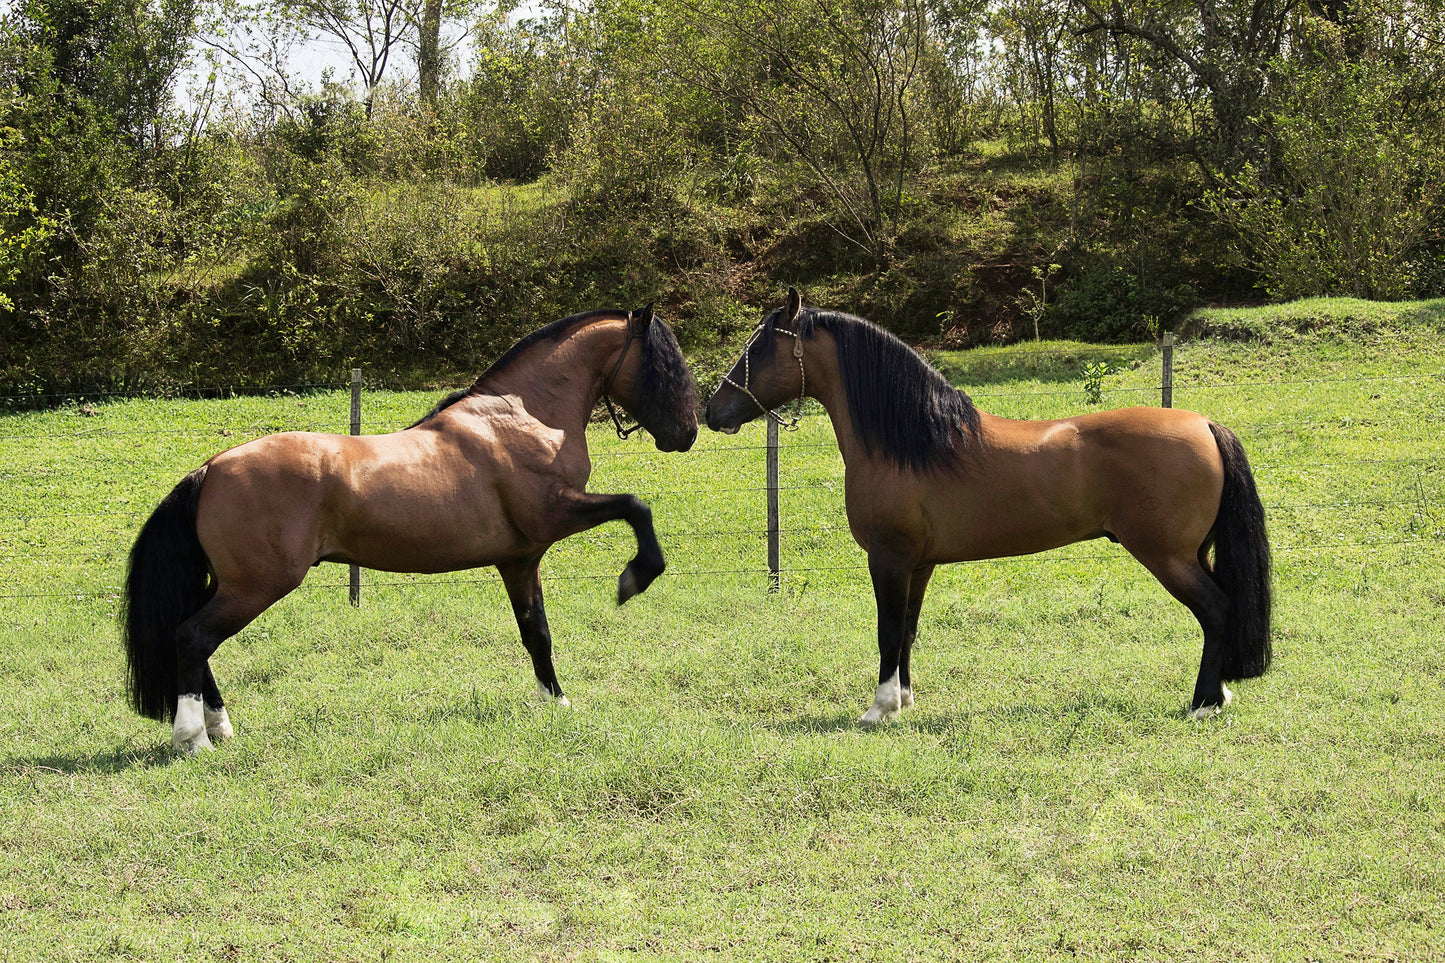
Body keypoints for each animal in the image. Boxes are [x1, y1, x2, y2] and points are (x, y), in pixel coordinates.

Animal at [124, 305, 699, 754]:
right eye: (664, 364)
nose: (688, 433)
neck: (524, 416)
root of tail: (210, 469)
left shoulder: (519, 558)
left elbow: (536, 631)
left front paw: (554, 701)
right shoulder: (552, 514)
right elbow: (636, 507)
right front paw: (635, 577)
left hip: (231, 585)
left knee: (194, 640)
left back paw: (220, 727)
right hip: (257, 585)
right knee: (193, 637)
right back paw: (194, 739)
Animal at [705, 288, 1270, 723]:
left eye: (759, 350)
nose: (713, 412)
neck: (909, 443)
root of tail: (1206, 425)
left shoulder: (888, 559)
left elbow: (888, 630)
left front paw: (878, 709)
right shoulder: (919, 564)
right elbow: (907, 630)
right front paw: (903, 701)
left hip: (1168, 556)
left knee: (1216, 610)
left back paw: (1203, 702)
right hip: (1194, 553)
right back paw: (1219, 695)